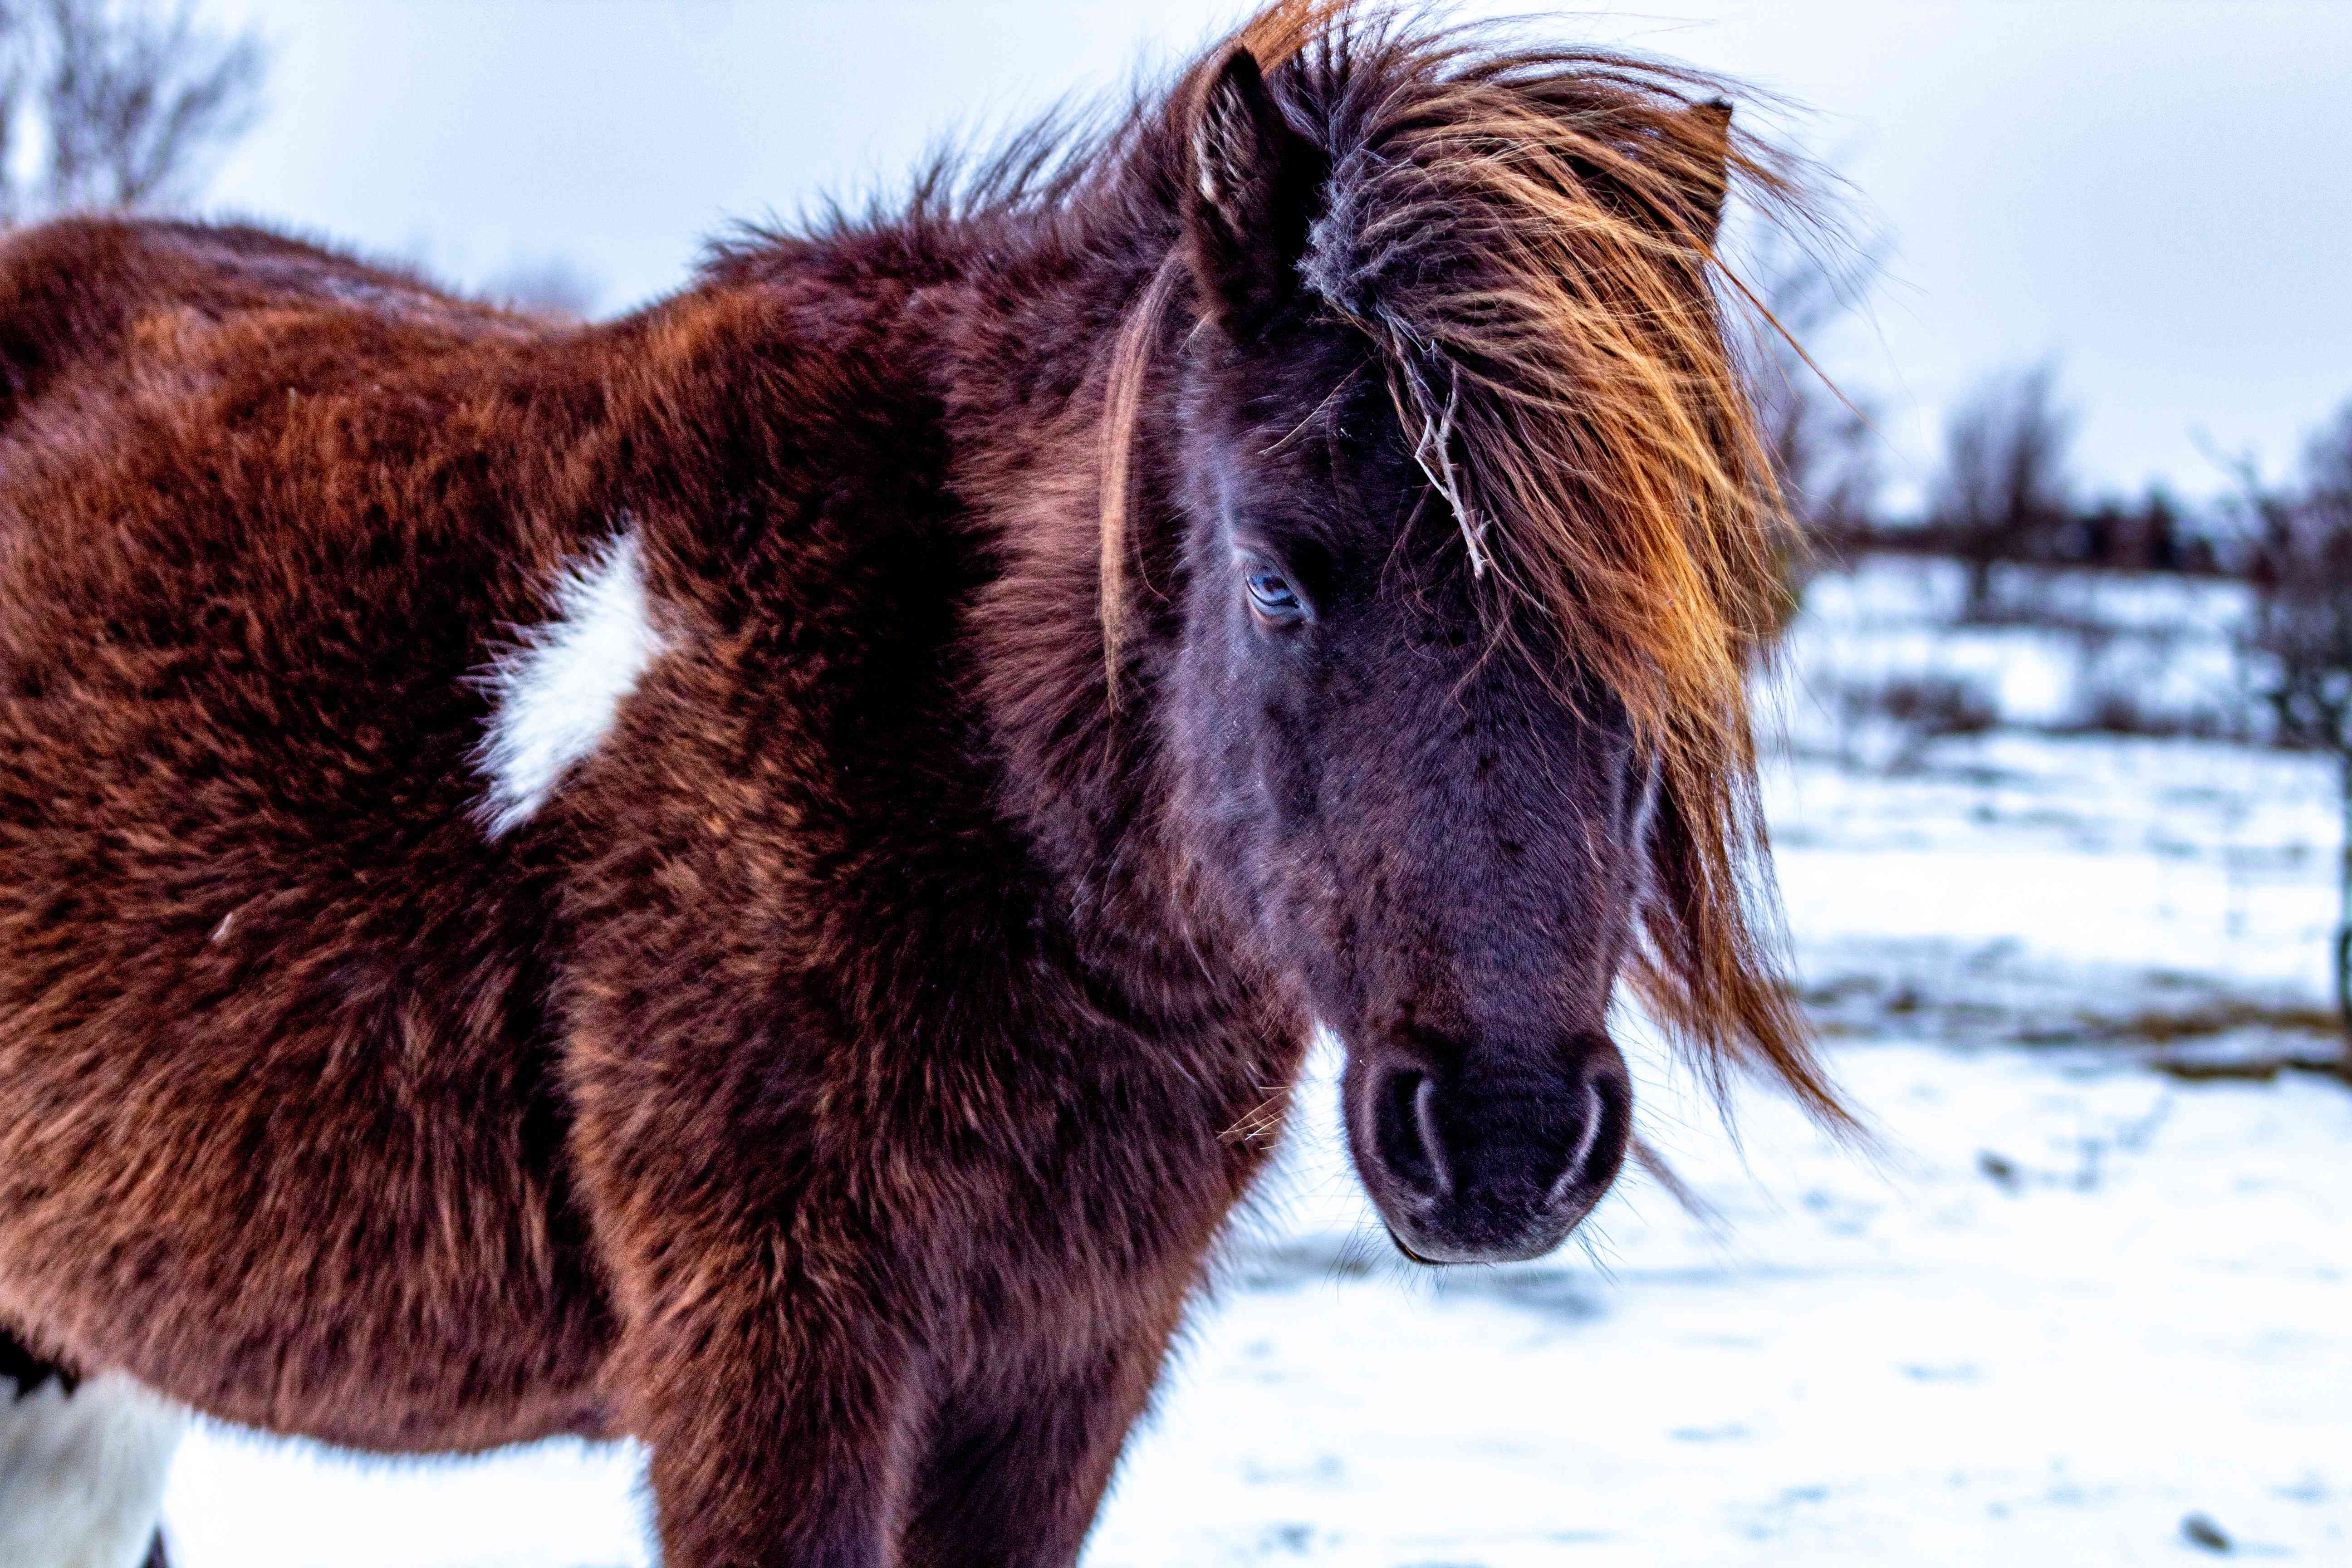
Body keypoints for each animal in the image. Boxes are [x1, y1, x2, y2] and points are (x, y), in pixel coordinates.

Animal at [0, 6, 1834, 1561]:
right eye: (1275, 582)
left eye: (1661, 611)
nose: (1507, 1137)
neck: (949, 753)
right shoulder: (773, 1362)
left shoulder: (1064, 1366)